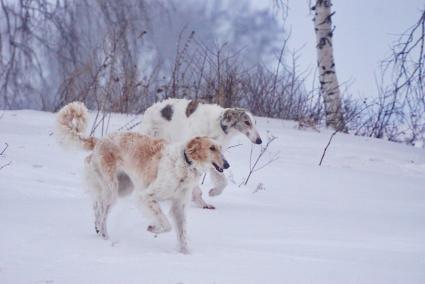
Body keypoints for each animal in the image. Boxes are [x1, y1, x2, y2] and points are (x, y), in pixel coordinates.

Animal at [57, 101, 229, 253]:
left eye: (221, 148)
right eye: (212, 148)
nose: (227, 165)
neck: (184, 163)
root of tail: (100, 140)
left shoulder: (178, 205)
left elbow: (181, 234)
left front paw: (185, 253)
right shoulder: (147, 196)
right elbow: (166, 224)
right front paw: (153, 228)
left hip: (122, 188)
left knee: (97, 205)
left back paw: (98, 228)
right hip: (112, 188)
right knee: (102, 214)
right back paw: (105, 237)